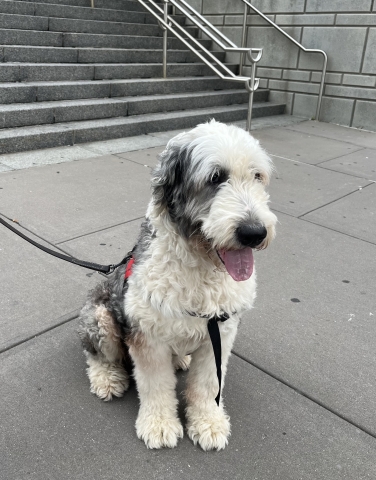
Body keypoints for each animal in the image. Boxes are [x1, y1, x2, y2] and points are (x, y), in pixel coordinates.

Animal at [78, 120, 276, 450]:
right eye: (215, 177)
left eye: (257, 176)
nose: (254, 232)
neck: (201, 267)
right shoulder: (147, 336)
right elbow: (156, 385)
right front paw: (159, 425)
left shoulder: (220, 332)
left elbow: (208, 383)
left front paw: (208, 422)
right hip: (100, 317)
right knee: (97, 355)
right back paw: (107, 378)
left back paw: (181, 358)